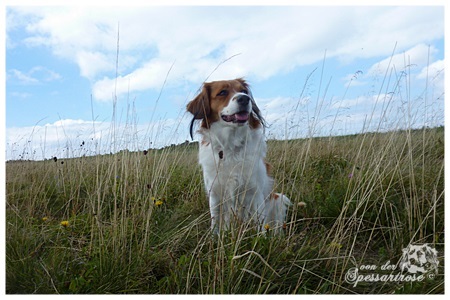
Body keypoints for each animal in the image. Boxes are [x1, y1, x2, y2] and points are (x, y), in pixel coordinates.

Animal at [186, 78, 292, 233]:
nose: (245, 98)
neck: (231, 148)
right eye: (222, 92)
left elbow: (261, 226)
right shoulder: (215, 194)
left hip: (279, 198)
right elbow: (215, 223)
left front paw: (261, 238)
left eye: (244, 91)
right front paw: (214, 238)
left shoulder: (255, 192)